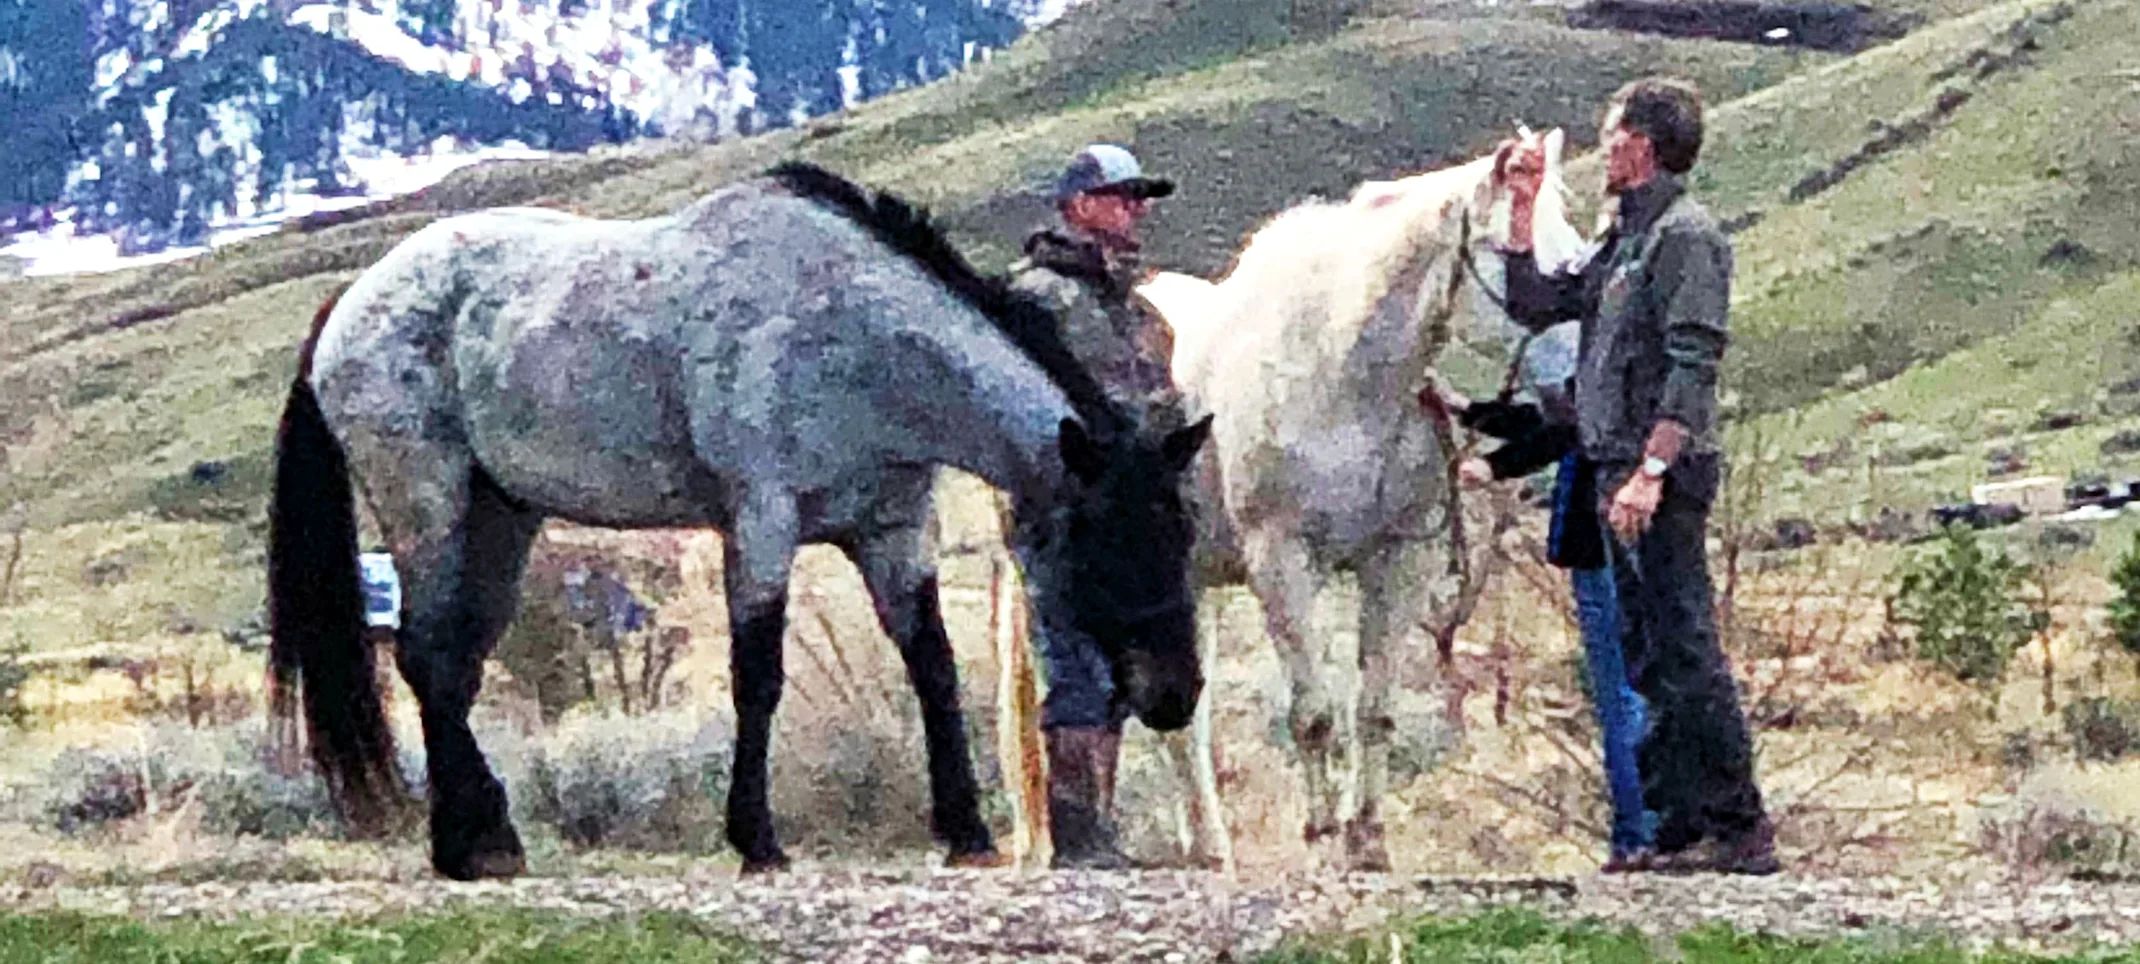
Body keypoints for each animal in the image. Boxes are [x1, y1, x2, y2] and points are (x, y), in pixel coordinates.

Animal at [267, 159, 1215, 882]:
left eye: (1181, 533)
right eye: (1110, 542)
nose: (1175, 694)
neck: (857, 343)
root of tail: (351, 301)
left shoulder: (894, 533)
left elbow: (933, 668)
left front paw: (966, 831)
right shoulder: (761, 524)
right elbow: (758, 678)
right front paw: (756, 840)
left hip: (504, 519)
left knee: (455, 670)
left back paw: (482, 839)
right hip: (427, 506)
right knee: (428, 660)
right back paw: (472, 847)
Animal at [1138, 127, 1592, 874]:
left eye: (1576, 245)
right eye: (1511, 252)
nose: (1580, 377)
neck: (1336, 369)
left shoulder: (1398, 561)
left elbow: (1373, 708)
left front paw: (1367, 841)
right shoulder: (1282, 563)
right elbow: (1314, 714)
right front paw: (1322, 837)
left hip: (1191, 584)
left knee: (1184, 719)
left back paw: (1205, 848)